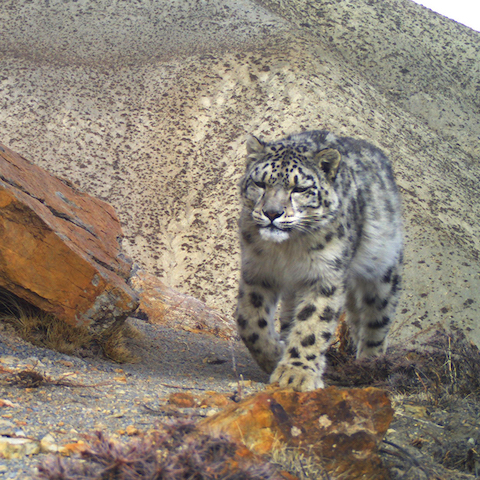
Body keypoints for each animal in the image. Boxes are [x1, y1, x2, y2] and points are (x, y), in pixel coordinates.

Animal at [234, 130, 404, 390]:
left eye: (299, 188)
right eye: (260, 183)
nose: (272, 213)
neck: (287, 249)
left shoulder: (325, 276)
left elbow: (313, 324)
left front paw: (296, 374)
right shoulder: (258, 270)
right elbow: (250, 320)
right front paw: (274, 355)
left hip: (382, 272)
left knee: (377, 321)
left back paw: (370, 366)